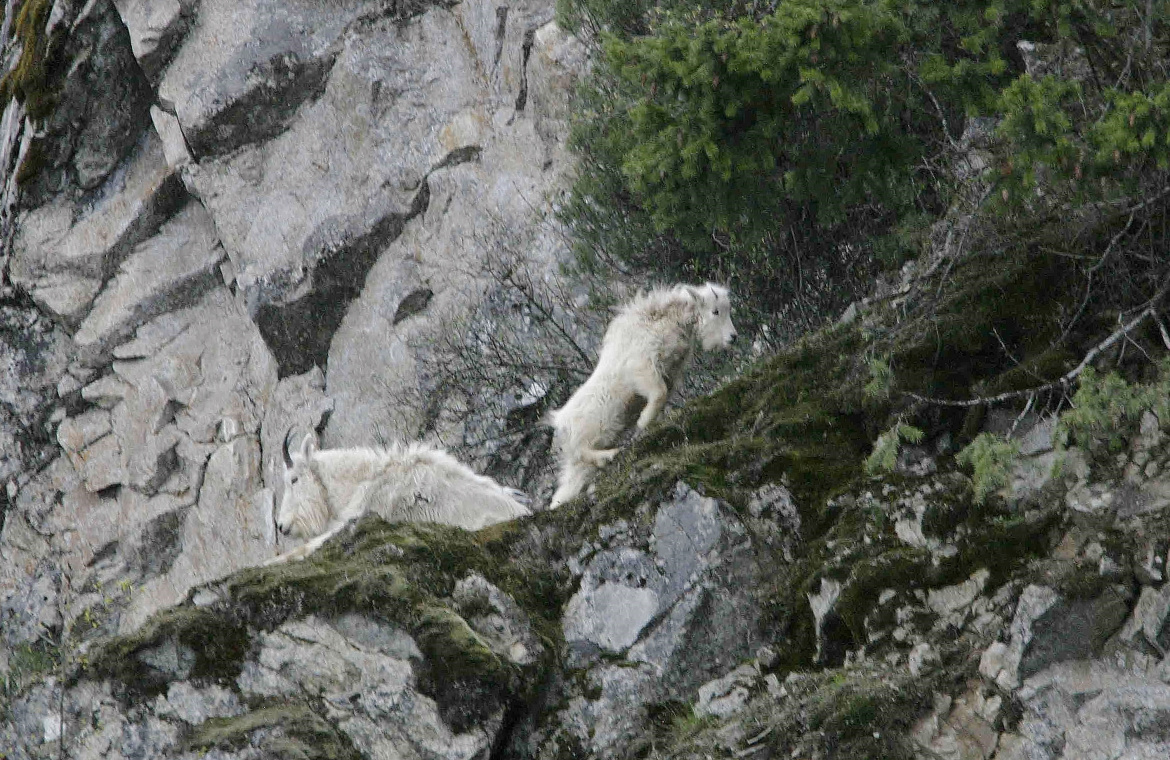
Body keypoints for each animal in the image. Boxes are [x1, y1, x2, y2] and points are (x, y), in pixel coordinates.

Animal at [549, 280, 739, 505]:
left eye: (727, 309)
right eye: (715, 311)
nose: (733, 337)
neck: (666, 320)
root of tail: (559, 423)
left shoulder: (671, 373)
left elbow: (663, 396)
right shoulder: (643, 367)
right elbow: (659, 393)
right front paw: (643, 421)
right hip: (593, 430)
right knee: (581, 452)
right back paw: (609, 455)